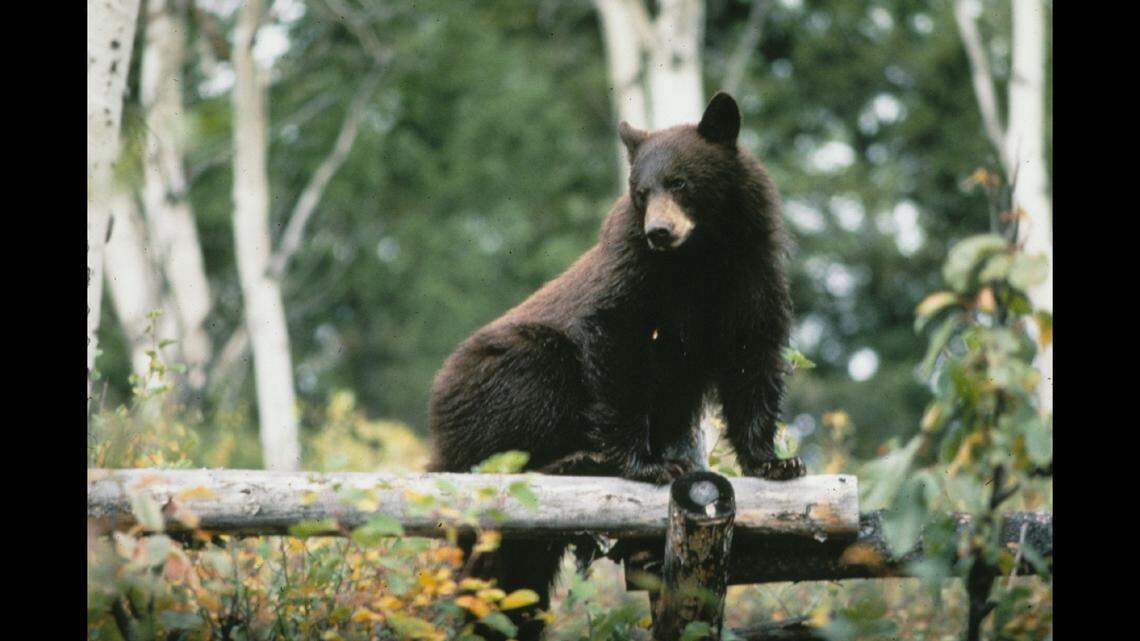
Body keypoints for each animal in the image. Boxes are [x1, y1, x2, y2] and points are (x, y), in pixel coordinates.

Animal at [427, 92, 803, 640]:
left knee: (516, 577)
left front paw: (775, 462)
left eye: (680, 182)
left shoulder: (751, 273)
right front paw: (648, 463)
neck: (701, 256)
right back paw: (579, 459)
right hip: (511, 369)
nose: (660, 232)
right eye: (641, 192)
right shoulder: (632, 272)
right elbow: (616, 342)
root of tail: (436, 428)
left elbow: (751, 360)